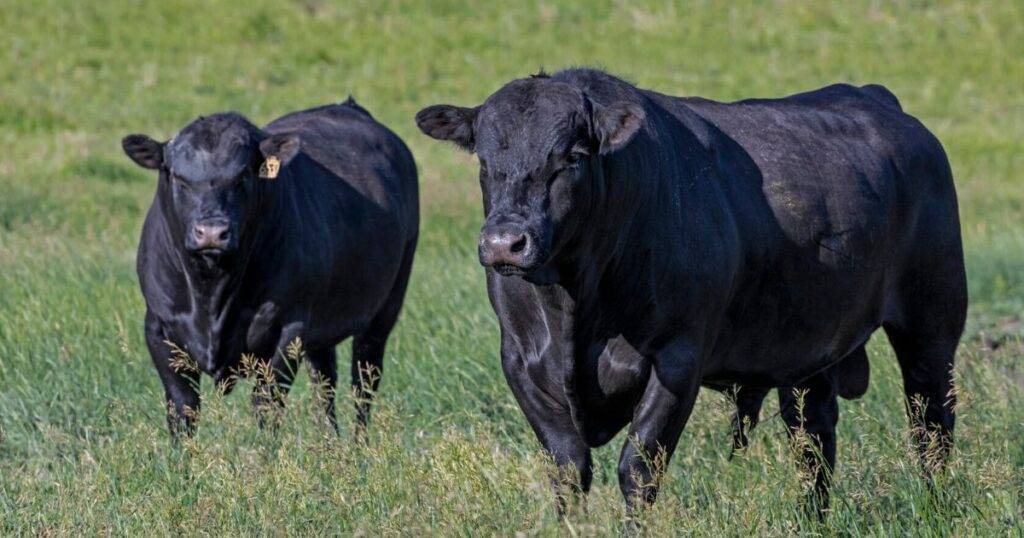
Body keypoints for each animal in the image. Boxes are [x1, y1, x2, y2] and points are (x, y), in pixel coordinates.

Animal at [122, 99, 418, 439]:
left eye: (242, 176)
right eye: (177, 177)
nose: (212, 232)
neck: (211, 293)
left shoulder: (287, 329)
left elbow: (266, 403)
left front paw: (266, 452)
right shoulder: (159, 327)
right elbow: (183, 407)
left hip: (386, 307)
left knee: (364, 380)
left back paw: (358, 445)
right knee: (325, 382)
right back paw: (330, 443)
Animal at [416, 68, 966, 514]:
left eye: (570, 157)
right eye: (484, 160)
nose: (505, 243)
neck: (573, 306)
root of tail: (876, 99)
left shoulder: (677, 359)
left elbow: (638, 470)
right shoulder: (521, 362)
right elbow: (568, 470)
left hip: (932, 323)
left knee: (931, 424)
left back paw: (936, 507)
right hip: (811, 353)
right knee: (813, 442)